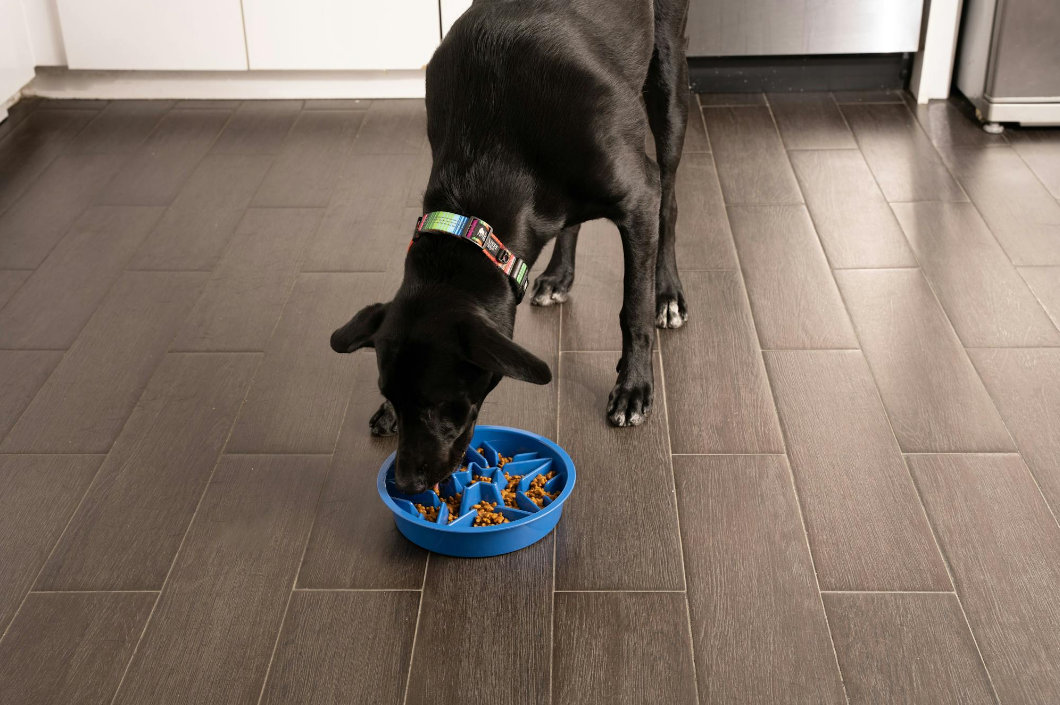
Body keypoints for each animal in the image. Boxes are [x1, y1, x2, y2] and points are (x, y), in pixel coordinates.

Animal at [332, 0, 695, 491]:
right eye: (389, 391)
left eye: (438, 403)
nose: (404, 484)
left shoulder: (639, 195)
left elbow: (632, 310)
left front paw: (633, 388)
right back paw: (558, 276)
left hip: (668, 78)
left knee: (670, 201)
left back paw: (668, 295)